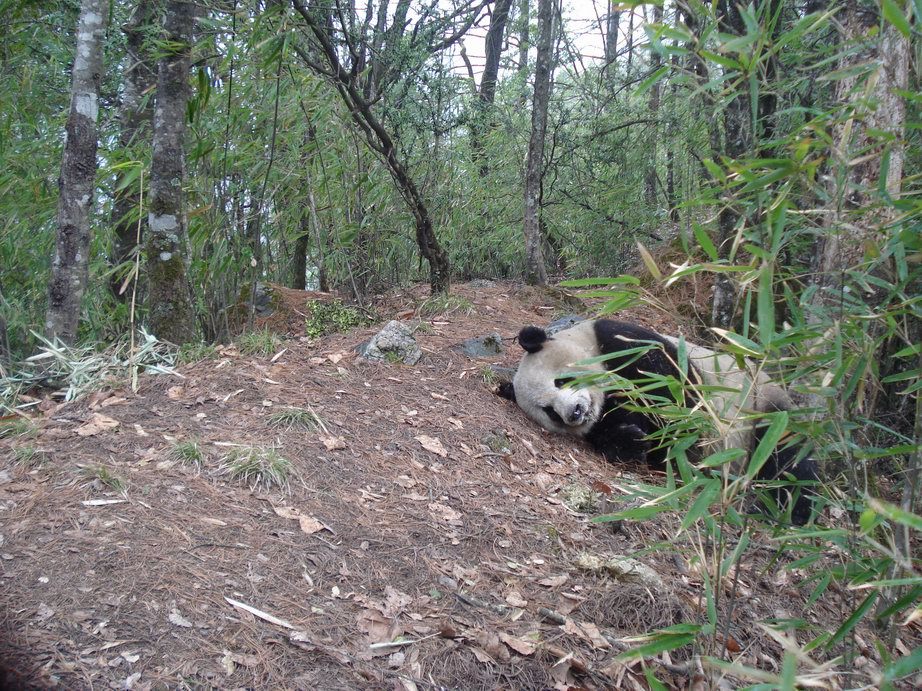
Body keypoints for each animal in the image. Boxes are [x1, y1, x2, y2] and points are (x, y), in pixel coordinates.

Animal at [500, 318, 816, 524]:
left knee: (787, 453)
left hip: (761, 403)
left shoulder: (620, 340)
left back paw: (789, 509)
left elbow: (673, 386)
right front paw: (634, 441)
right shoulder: (603, 418)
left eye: (562, 380)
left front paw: (678, 433)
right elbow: (618, 435)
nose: (575, 412)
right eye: (550, 412)